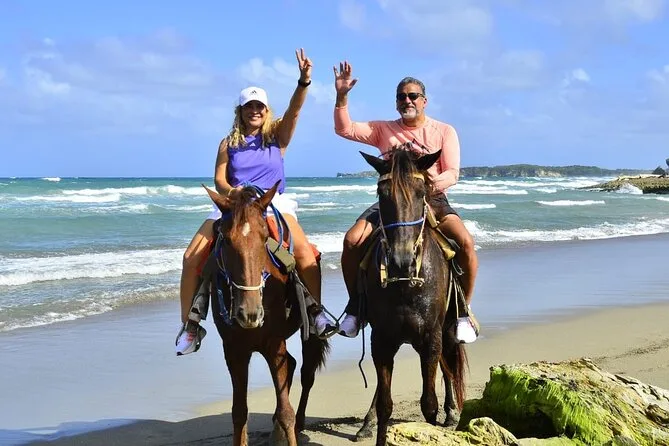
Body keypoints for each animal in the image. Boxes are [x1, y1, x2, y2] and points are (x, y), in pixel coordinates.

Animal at [203, 182, 330, 446]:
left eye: (263, 239)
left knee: (306, 374)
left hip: (309, 334)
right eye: (226, 240)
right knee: (292, 365)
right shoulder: (234, 351)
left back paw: (298, 423)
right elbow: (239, 412)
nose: (249, 314)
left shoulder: (274, 345)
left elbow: (286, 412)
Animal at [353, 145, 468, 445]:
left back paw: (452, 412)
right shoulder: (381, 340)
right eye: (382, 193)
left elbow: (429, 405)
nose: (401, 260)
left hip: (447, 331)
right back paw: (366, 423)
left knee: (447, 366)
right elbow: (386, 404)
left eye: (420, 192)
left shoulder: (430, 339)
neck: (406, 283)